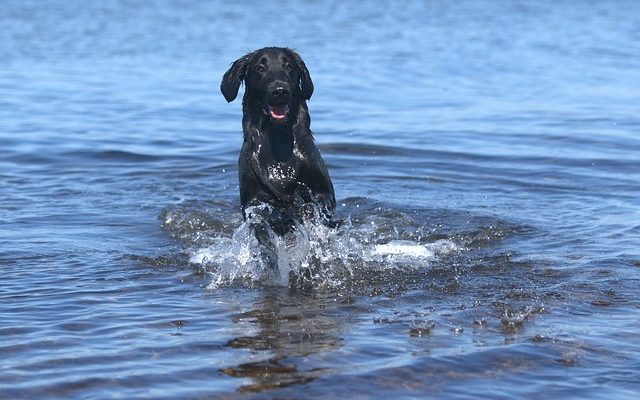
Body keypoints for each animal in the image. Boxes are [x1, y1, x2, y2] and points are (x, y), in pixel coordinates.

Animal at [221, 48, 336, 239]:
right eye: (260, 68)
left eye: (289, 66)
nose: (280, 90)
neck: (279, 142)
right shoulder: (252, 200)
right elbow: (263, 213)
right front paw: (280, 217)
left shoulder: (323, 191)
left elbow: (317, 205)